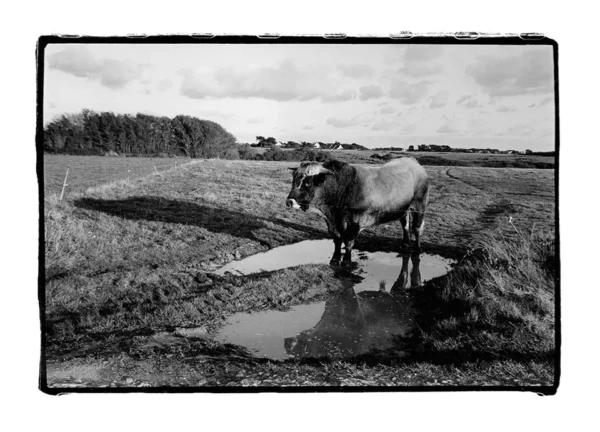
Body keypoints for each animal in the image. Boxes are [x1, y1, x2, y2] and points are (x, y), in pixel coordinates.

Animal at [284, 159, 426, 264]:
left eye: (308, 183)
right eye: (294, 180)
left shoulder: (355, 222)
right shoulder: (332, 222)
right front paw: (335, 259)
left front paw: (346, 261)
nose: (289, 201)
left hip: (419, 205)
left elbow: (348, 242)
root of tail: (413, 162)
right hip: (404, 209)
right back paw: (405, 244)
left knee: (417, 228)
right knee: (405, 225)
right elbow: (337, 239)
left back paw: (417, 249)